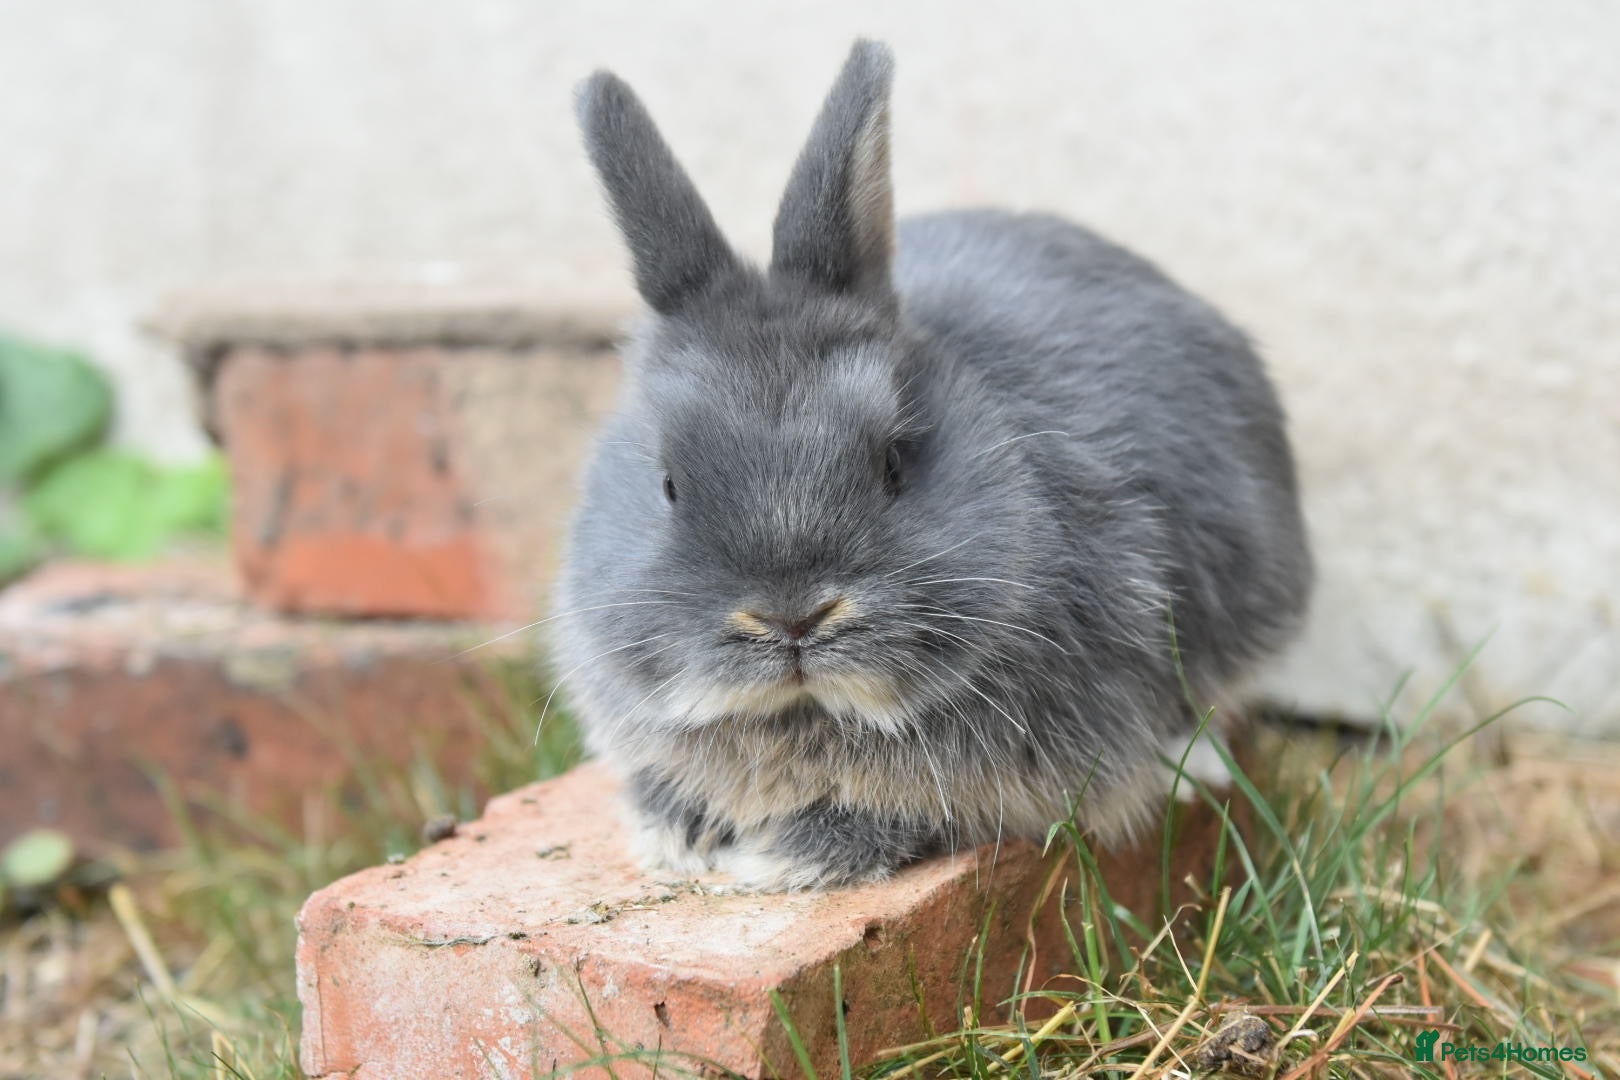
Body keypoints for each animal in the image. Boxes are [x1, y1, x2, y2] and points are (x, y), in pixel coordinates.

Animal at [551, 39, 1312, 890]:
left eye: (894, 462)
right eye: (668, 484)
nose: (792, 618)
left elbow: (917, 814)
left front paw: (781, 858)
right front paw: (677, 830)